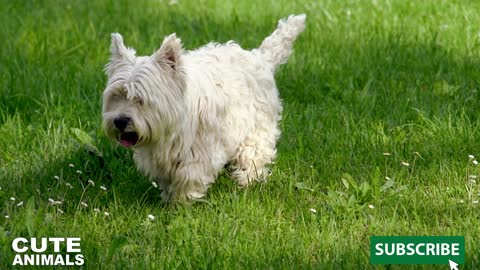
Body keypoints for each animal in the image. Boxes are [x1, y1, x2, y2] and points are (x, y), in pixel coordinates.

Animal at [102, 14, 306, 200]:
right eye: (116, 95)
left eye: (141, 99)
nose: (120, 121)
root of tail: (259, 58)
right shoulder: (158, 156)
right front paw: (169, 199)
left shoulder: (201, 151)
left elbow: (188, 175)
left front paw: (180, 204)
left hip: (257, 128)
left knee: (254, 155)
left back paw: (245, 181)